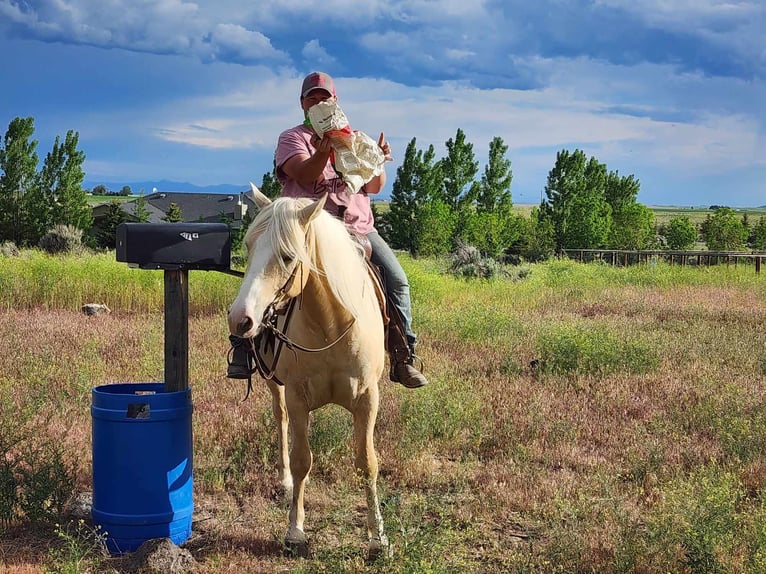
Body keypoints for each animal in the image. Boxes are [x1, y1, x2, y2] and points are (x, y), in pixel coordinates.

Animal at [228, 187, 390, 560]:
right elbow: (302, 460)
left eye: (288, 257)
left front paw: (377, 537)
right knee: (281, 420)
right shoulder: (296, 395)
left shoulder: (367, 398)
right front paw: (295, 531)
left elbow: (367, 463)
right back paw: (284, 480)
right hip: (275, 386)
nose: (240, 319)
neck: (331, 326)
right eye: (248, 246)